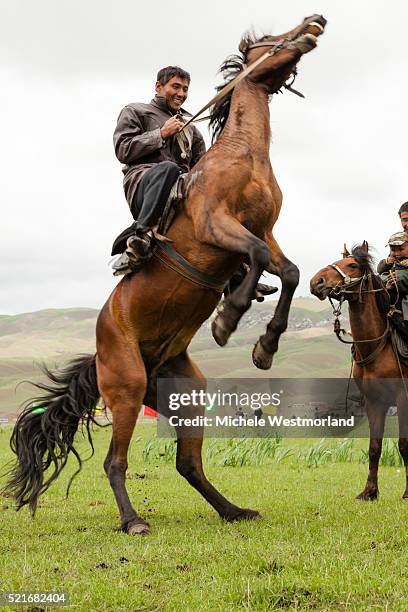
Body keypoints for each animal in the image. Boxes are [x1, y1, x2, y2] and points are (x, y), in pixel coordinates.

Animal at [4, 15, 326, 536]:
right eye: (267, 39)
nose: (314, 23)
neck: (243, 154)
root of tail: (100, 352)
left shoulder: (267, 232)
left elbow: (290, 272)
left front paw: (264, 346)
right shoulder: (219, 225)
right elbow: (255, 256)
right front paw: (228, 319)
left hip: (185, 395)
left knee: (188, 463)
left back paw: (233, 511)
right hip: (127, 389)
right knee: (114, 462)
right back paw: (133, 521)